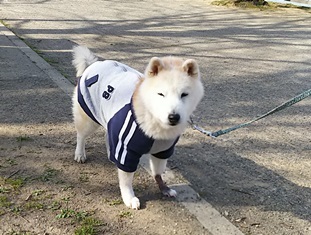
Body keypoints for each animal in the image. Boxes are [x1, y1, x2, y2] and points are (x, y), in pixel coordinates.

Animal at [72, 46, 205, 209]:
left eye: (184, 94)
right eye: (161, 94)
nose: (173, 117)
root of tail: (94, 64)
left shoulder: (163, 151)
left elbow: (158, 173)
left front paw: (164, 188)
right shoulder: (127, 149)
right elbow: (126, 180)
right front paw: (129, 197)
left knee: (107, 135)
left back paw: (111, 155)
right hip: (89, 118)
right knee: (81, 135)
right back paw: (80, 153)